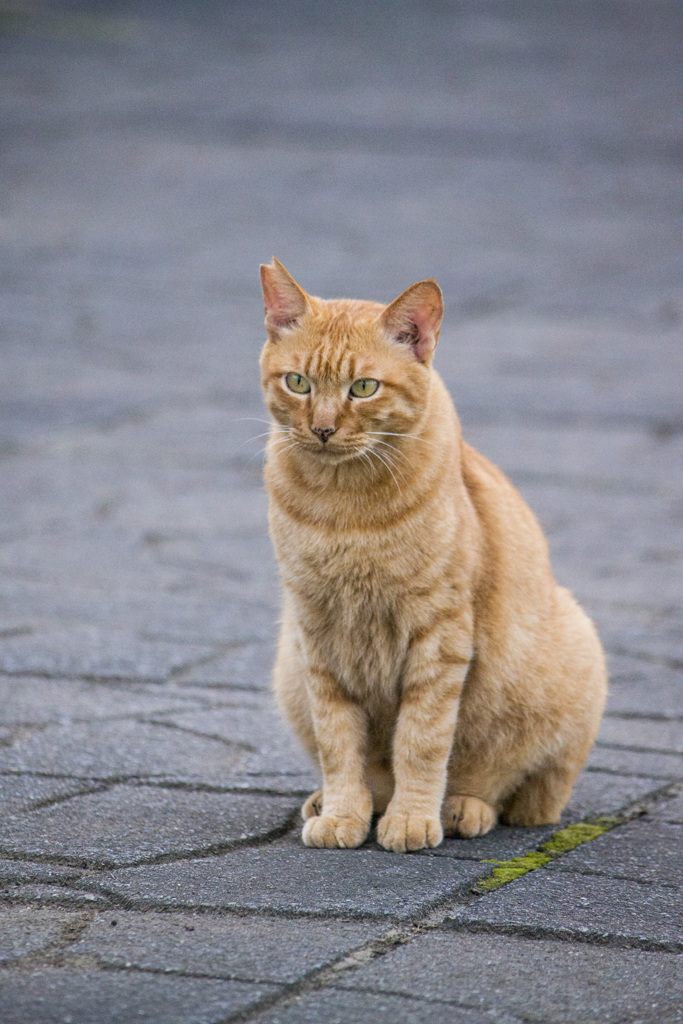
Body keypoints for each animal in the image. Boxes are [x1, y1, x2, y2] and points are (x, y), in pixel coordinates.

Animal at [259, 260, 606, 851]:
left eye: (364, 388)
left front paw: (412, 818)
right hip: (287, 664)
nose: (322, 429)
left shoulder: (438, 633)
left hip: (576, 653)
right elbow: (338, 740)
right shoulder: (317, 633)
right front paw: (345, 811)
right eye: (297, 382)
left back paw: (462, 807)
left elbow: (421, 741)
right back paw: (332, 801)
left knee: (522, 794)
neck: (341, 506)